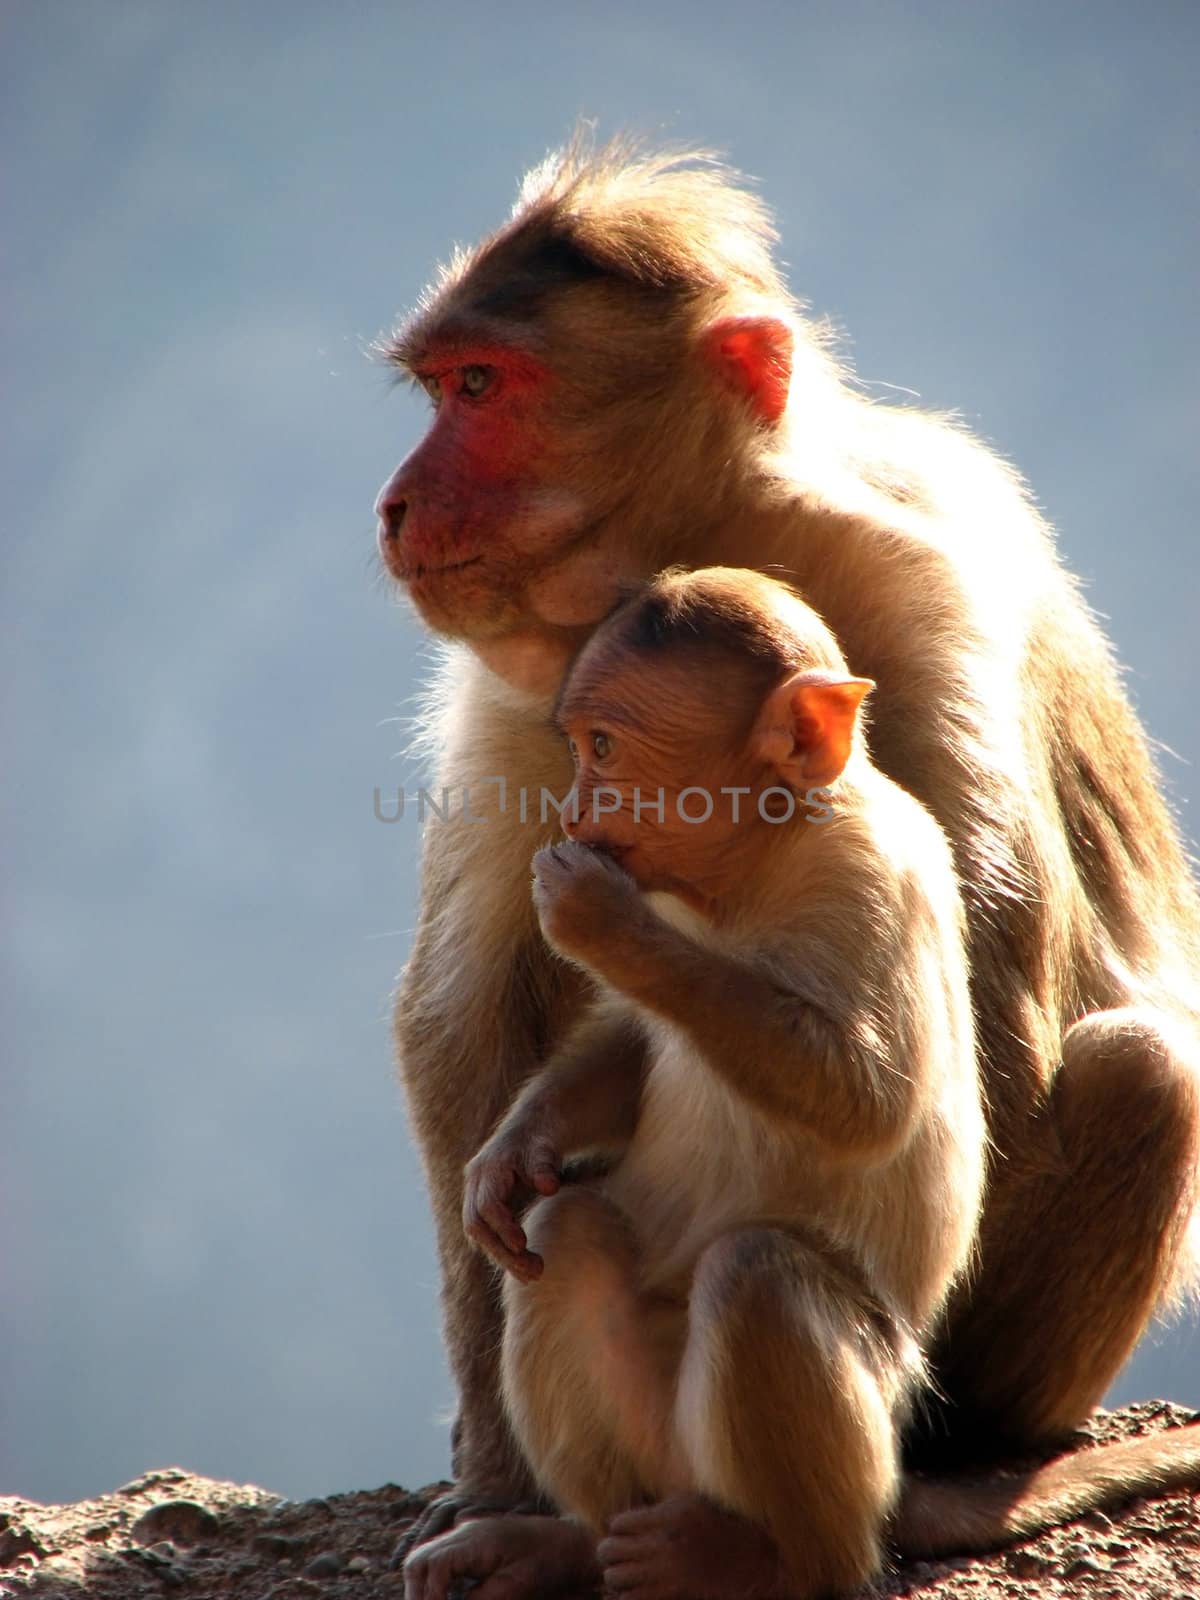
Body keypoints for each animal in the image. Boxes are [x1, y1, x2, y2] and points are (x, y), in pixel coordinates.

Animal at [404, 572, 985, 1600]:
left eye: (604, 747)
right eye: (577, 745)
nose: (570, 813)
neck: (755, 863)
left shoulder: (871, 882)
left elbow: (869, 1100)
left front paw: (603, 925)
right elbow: (630, 1047)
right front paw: (512, 1151)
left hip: (860, 1421)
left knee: (757, 1278)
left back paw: (772, 1560)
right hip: (660, 1448)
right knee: (567, 1234)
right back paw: (565, 1544)